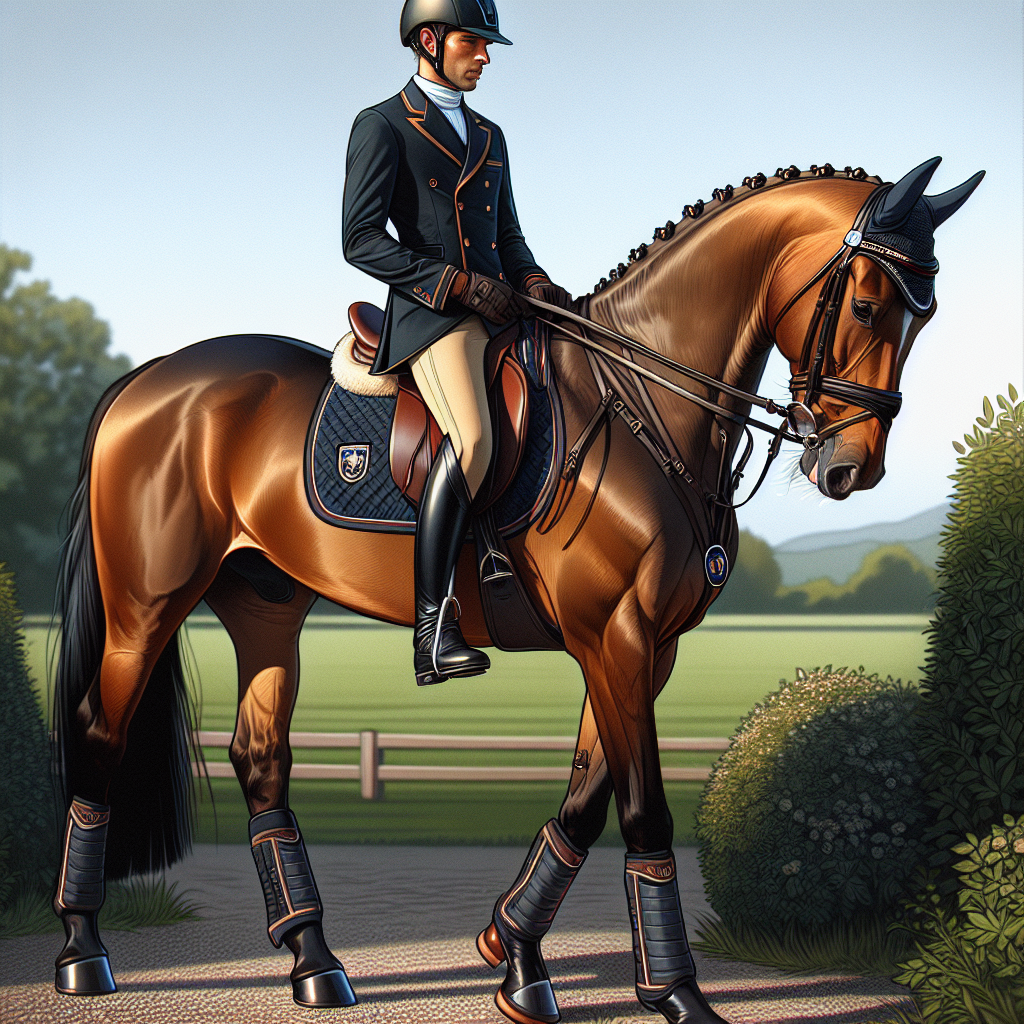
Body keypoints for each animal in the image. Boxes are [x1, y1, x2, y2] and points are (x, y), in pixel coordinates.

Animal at [48, 157, 982, 1024]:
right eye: (867, 306)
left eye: (928, 313)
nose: (850, 469)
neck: (640, 398)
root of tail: (153, 376)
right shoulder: (617, 635)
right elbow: (642, 811)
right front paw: (676, 994)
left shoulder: (646, 645)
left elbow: (584, 801)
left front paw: (513, 953)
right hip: (148, 603)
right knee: (100, 732)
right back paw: (84, 953)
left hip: (266, 605)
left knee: (260, 757)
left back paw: (315, 962)